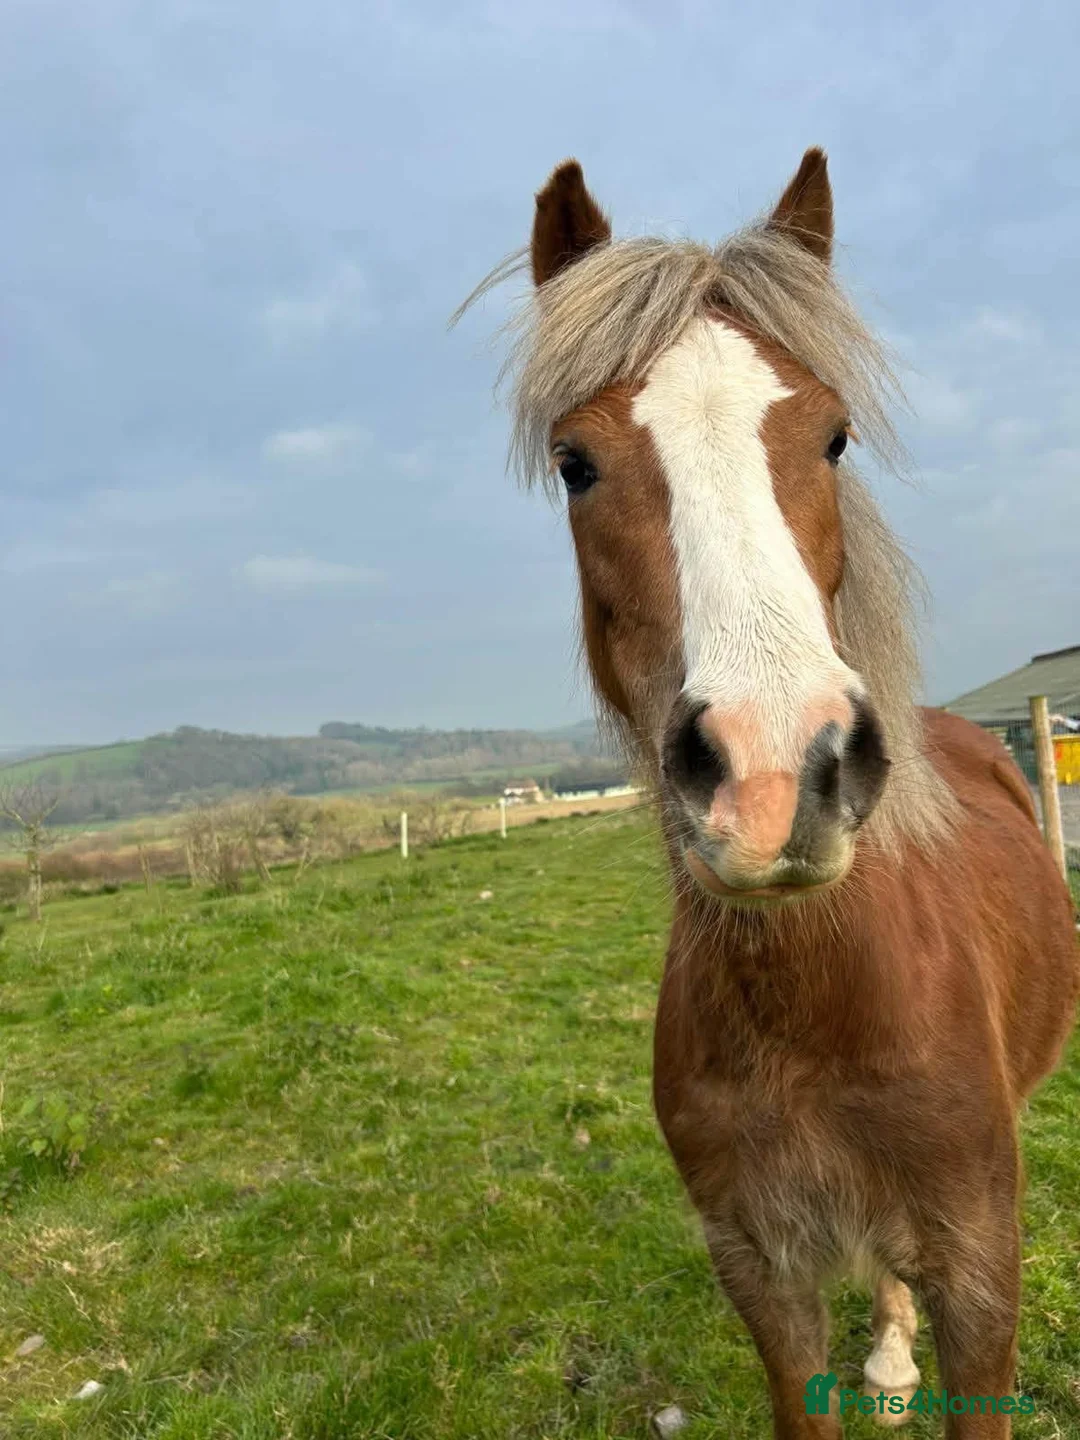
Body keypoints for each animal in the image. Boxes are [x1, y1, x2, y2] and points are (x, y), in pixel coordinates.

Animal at [460, 149, 1078, 1437]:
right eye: (575, 463)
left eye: (834, 437)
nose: (776, 771)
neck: (815, 999)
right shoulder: (761, 1274)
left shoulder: (984, 1274)